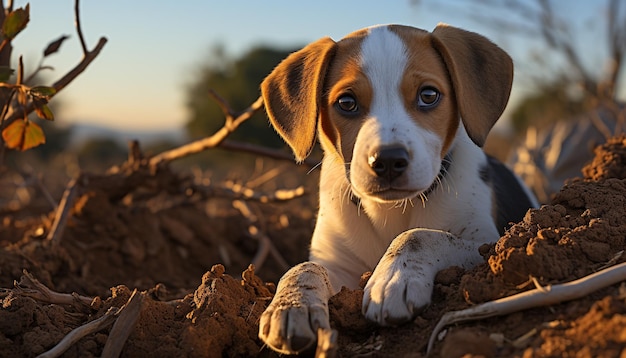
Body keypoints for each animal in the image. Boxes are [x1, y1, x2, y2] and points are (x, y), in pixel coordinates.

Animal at [256, 23, 532, 354]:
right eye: (346, 103)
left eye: (428, 95)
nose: (387, 160)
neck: (389, 210)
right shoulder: (338, 266)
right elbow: (303, 267)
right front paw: (291, 304)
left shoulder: (488, 244)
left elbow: (418, 235)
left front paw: (392, 279)